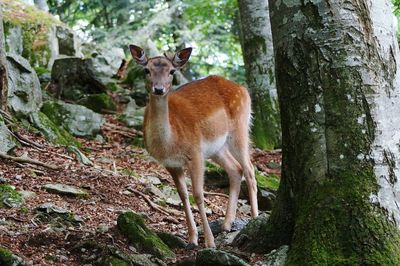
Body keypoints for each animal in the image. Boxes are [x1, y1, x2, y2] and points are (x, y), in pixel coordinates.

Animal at [130, 44, 258, 248]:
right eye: (146, 70)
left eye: (172, 71)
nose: (158, 89)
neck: (169, 143)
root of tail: (242, 88)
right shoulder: (171, 164)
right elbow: (183, 194)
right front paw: (192, 237)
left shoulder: (195, 152)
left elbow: (198, 194)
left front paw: (209, 242)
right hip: (217, 148)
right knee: (235, 169)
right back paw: (227, 223)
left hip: (240, 127)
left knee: (250, 169)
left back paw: (254, 218)